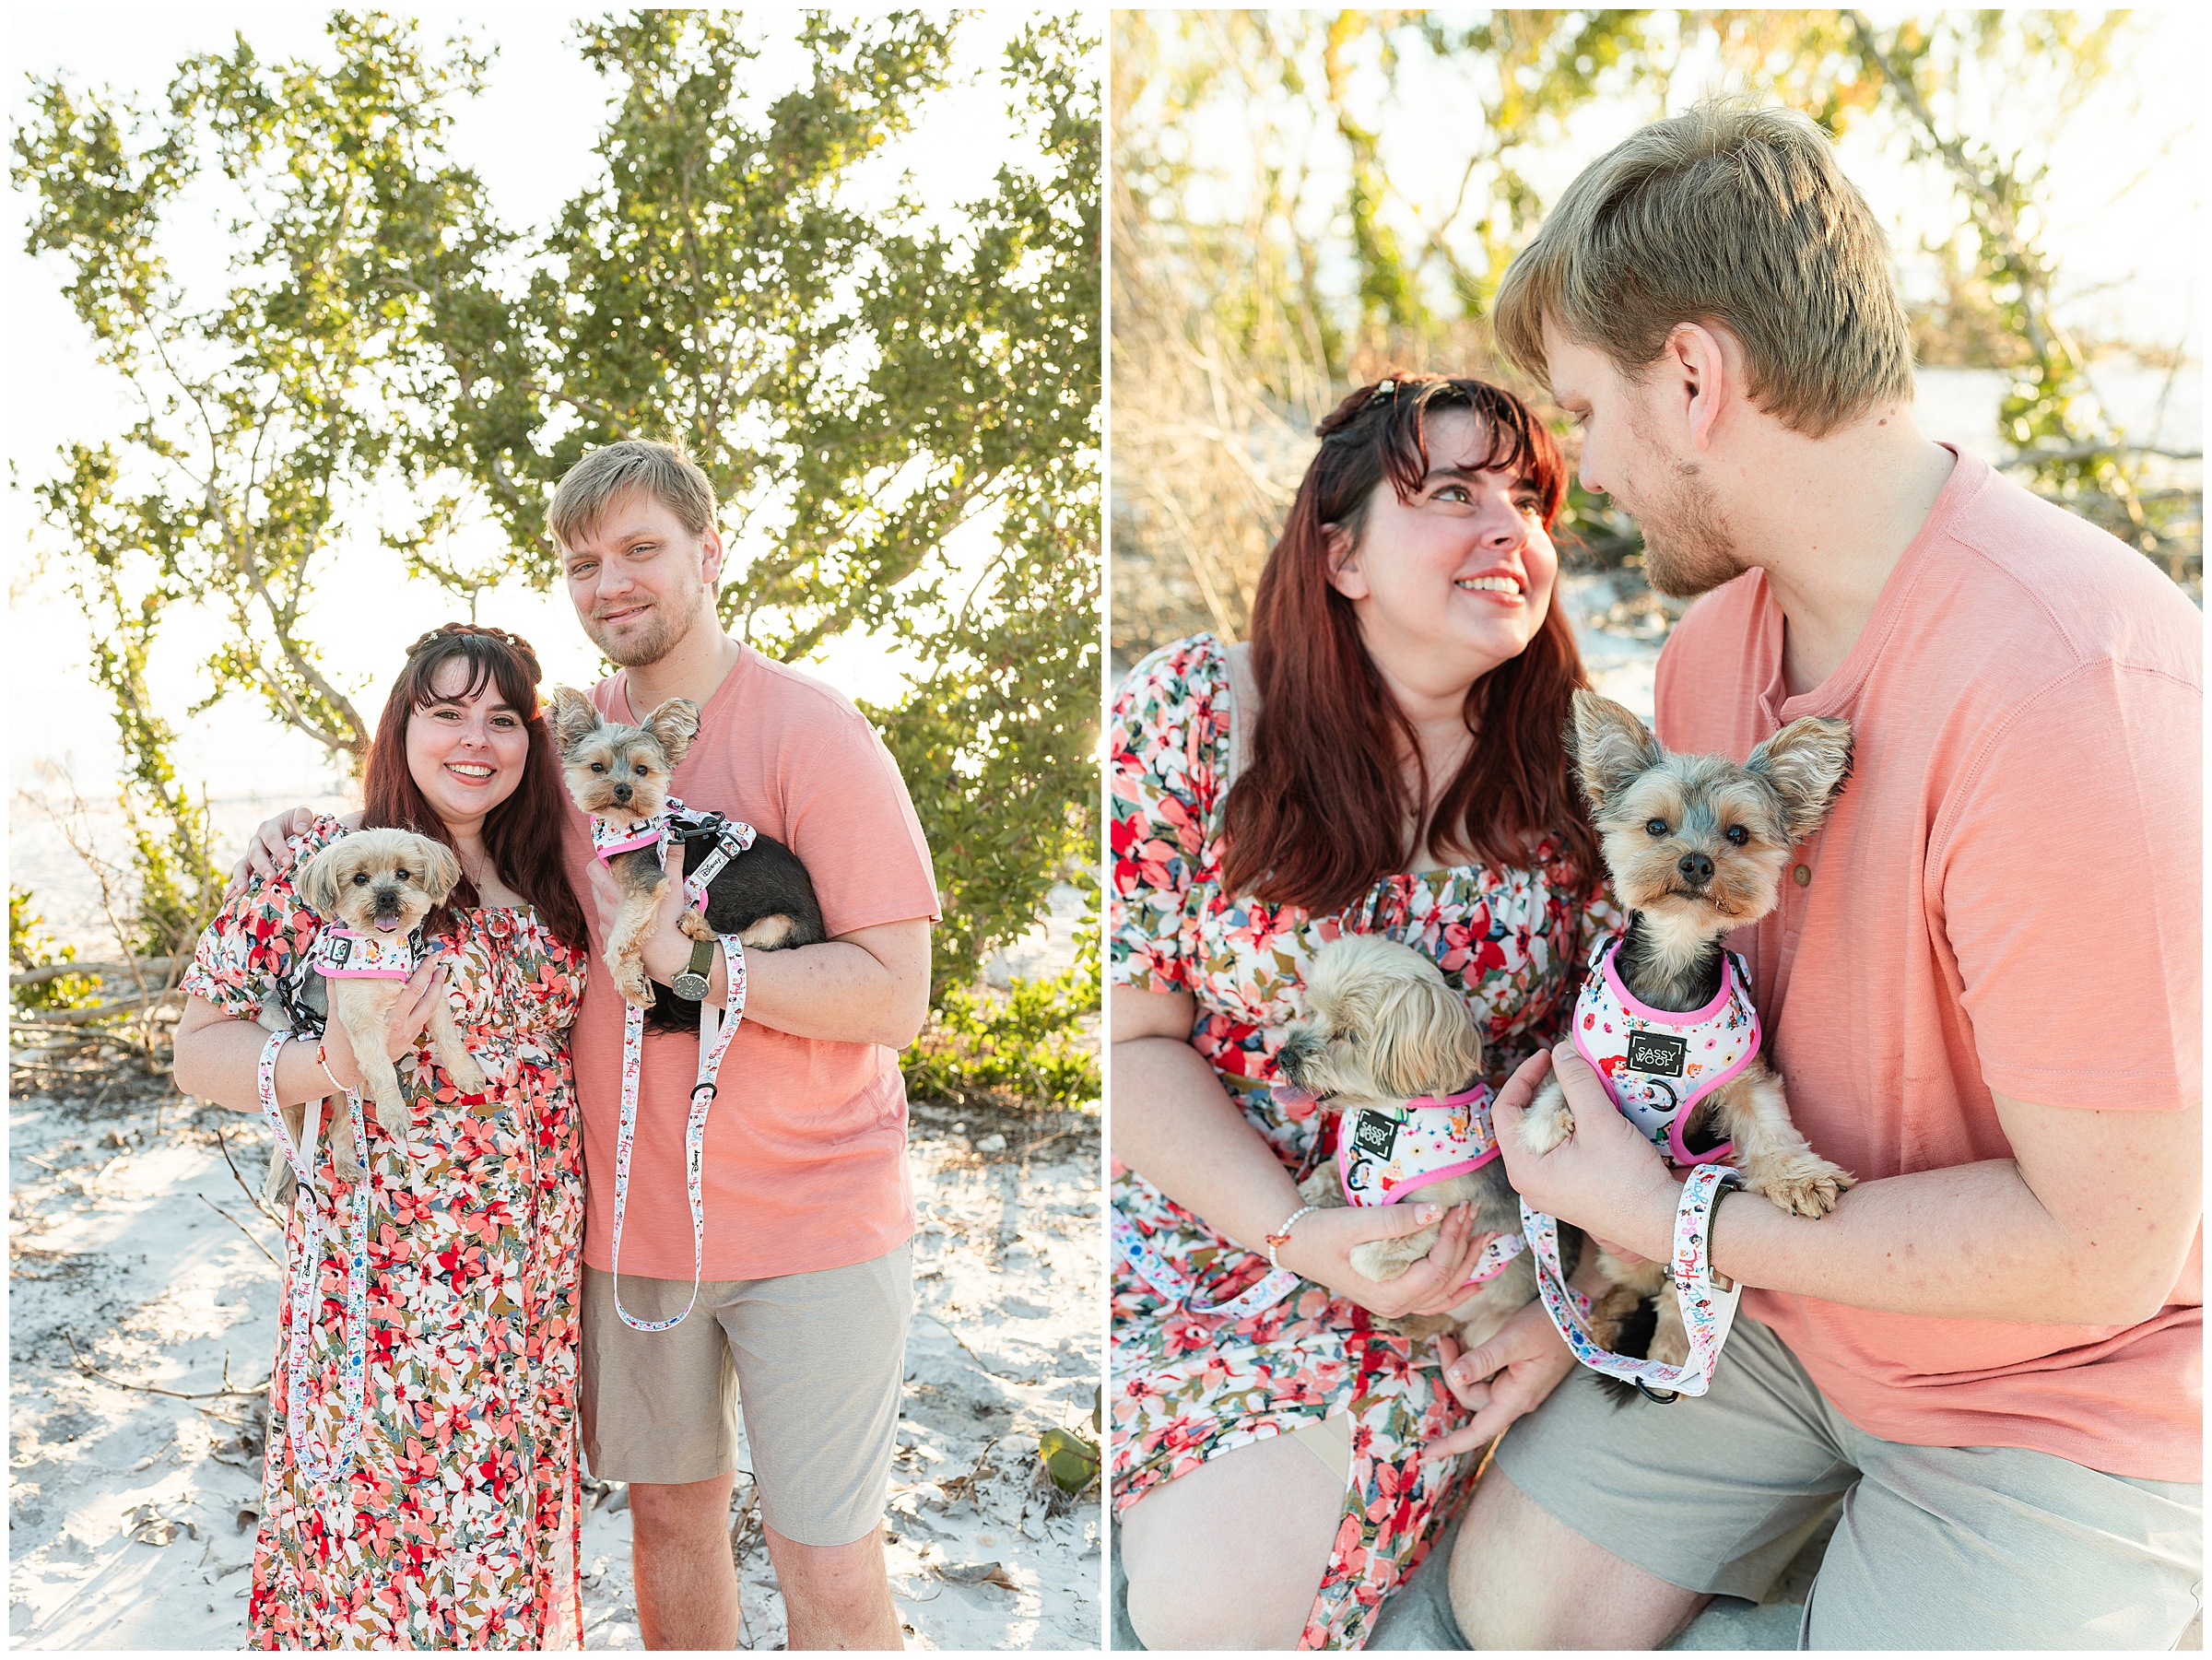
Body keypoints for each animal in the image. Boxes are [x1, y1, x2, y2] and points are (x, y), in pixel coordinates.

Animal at [546, 677, 831, 1022]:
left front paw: (629, 983)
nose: (624, 789)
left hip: (780, 924)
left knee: (739, 941)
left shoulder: (648, 884)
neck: (625, 826)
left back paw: (697, 926)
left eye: (642, 770)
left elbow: (620, 938)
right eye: (597, 767)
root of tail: (820, 926)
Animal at [1274, 938, 1566, 1354]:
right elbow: (1330, 1171)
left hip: (1487, 1325)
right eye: (1312, 1012)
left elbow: (1375, 1254)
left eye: (1348, 1034)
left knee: (1455, 1326)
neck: (1387, 1114)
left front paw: (1369, 1256)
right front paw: (1312, 1189)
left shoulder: (1444, 1213)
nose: (1285, 1055)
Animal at [1522, 690, 1849, 1381]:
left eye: (1737, 834)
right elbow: (1559, 1083)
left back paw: (1668, 1346)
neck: (1674, 954)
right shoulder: (1575, 1051)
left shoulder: (1748, 1078)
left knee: (1676, 1279)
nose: (1696, 861)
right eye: (1656, 827)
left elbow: (1771, 1126)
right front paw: (1543, 1122)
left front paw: (1798, 1176)